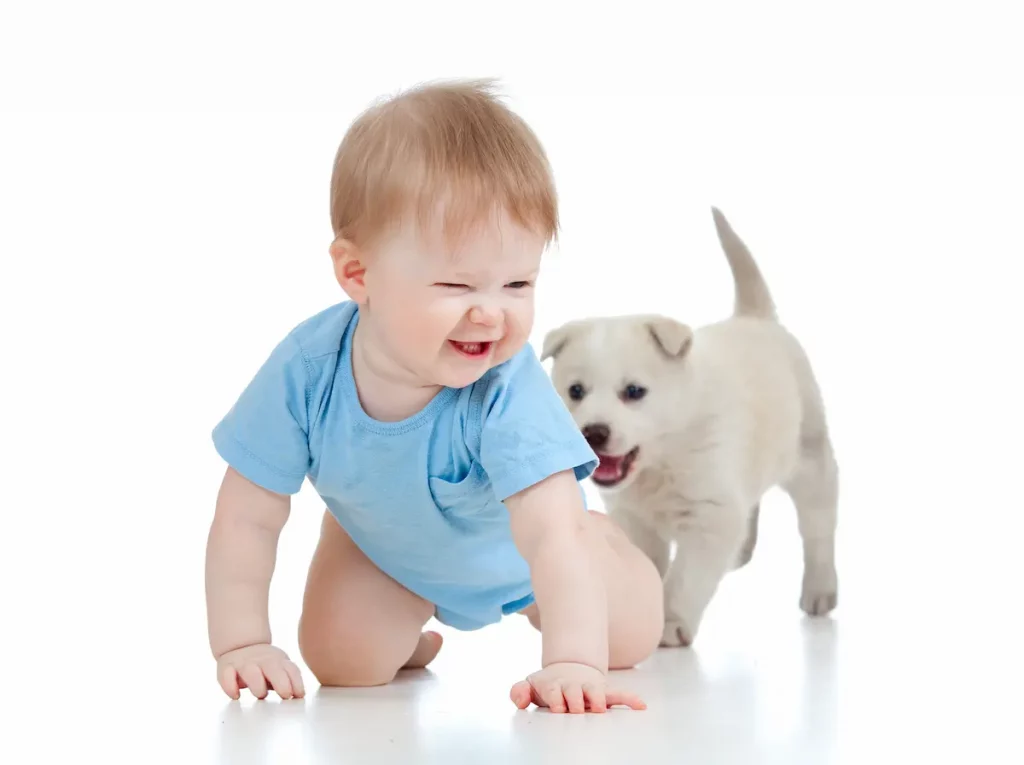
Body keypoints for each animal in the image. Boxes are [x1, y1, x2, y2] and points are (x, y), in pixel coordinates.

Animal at [544, 207, 839, 647]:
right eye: (575, 390)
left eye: (634, 391)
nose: (593, 432)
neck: (663, 459)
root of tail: (755, 318)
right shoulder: (632, 519)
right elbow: (647, 566)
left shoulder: (710, 516)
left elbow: (685, 578)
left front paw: (670, 623)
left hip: (811, 458)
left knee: (818, 528)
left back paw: (820, 591)